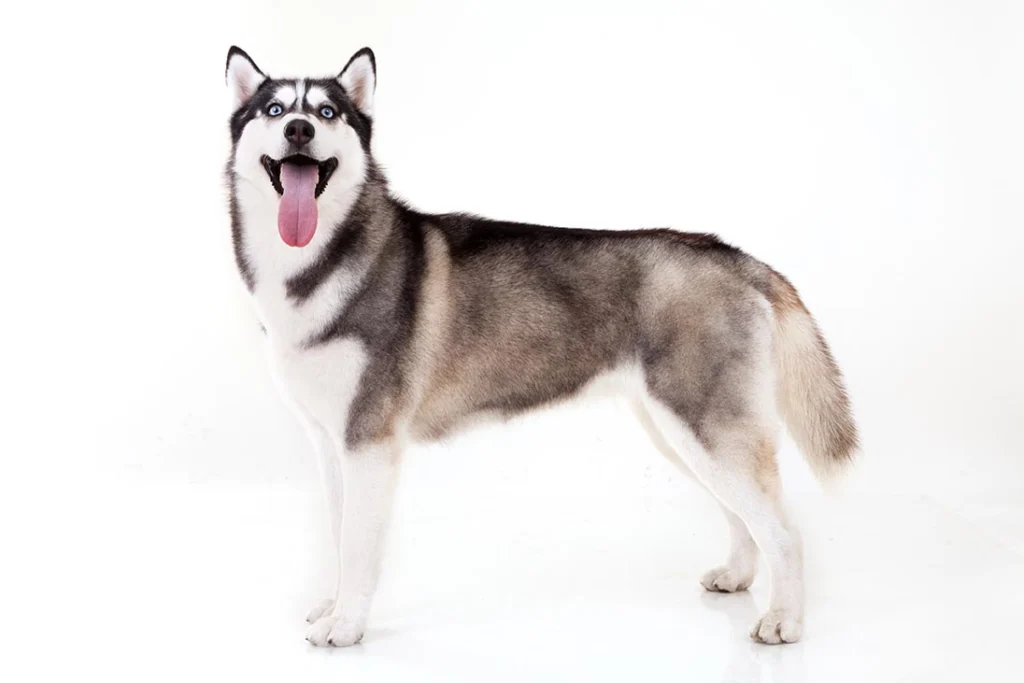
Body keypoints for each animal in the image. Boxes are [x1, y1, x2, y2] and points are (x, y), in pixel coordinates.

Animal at [222, 46, 856, 647]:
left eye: (327, 112)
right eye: (273, 110)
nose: (298, 130)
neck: (317, 264)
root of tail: (738, 257)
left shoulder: (370, 442)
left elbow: (357, 545)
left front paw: (348, 626)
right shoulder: (333, 444)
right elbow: (339, 535)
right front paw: (335, 607)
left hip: (707, 426)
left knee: (784, 529)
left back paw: (784, 620)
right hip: (679, 431)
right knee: (741, 514)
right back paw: (739, 576)